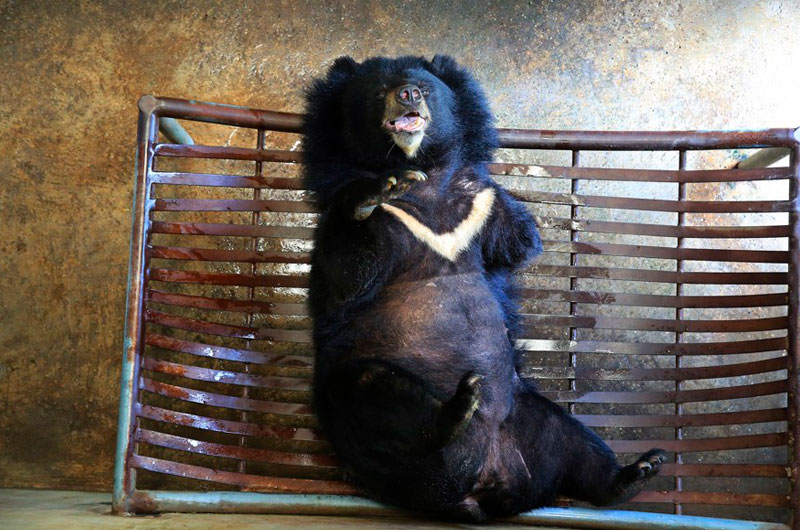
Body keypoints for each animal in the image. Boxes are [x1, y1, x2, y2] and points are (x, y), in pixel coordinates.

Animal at [301, 55, 665, 522]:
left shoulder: (478, 204)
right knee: (371, 390)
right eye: (380, 90)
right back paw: (456, 409)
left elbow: (517, 239)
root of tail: (475, 488)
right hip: (360, 409)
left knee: (575, 443)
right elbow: (346, 274)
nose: (407, 94)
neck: (428, 184)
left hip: (530, 415)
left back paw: (637, 472)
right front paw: (376, 189)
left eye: (424, 87)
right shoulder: (358, 219)